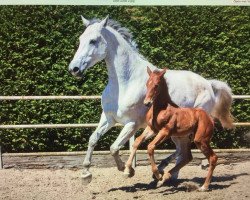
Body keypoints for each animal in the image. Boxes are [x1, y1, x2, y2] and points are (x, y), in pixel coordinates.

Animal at [68, 16, 232, 184]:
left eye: (93, 41)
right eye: (80, 39)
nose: (73, 69)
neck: (125, 82)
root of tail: (208, 84)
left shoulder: (131, 124)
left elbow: (114, 147)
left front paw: (127, 170)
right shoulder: (108, 118)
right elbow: (93, 139)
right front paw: (86, 173)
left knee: (184, 152)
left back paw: (164, 172)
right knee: (182, 152)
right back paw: (165, 172)